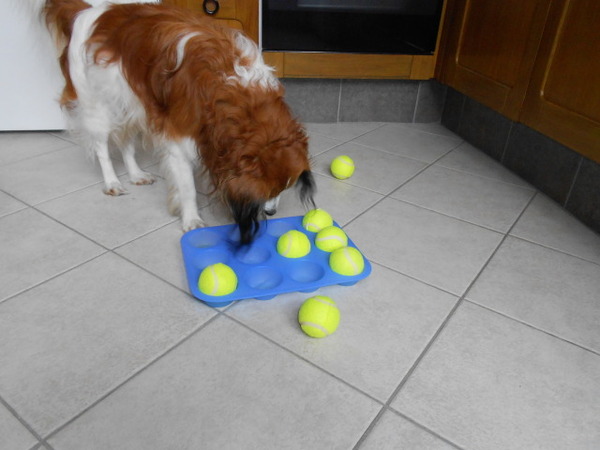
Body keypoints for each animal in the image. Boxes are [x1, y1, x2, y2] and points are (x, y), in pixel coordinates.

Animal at [31, 0, 316, 243]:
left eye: (283, 189)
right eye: (268, 191)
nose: (270, 213)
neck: (231, 85)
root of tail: (88, 12)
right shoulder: (178, 140)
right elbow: (187, 186)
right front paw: (192, 220)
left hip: (132, 105)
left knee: (126, 142)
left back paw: (135, 174)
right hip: (98, 107)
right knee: (102, 147)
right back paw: (112, 182)